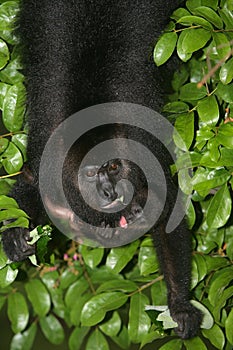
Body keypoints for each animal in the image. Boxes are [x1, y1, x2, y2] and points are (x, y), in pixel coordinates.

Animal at [0, 0, 202, 340]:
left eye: (114, 166)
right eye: (91, 174)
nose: (110, 192)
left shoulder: (143, 156)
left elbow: (167, 213)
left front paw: (181, 305)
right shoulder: (51, 167)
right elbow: (30, 182)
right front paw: (14, 234)